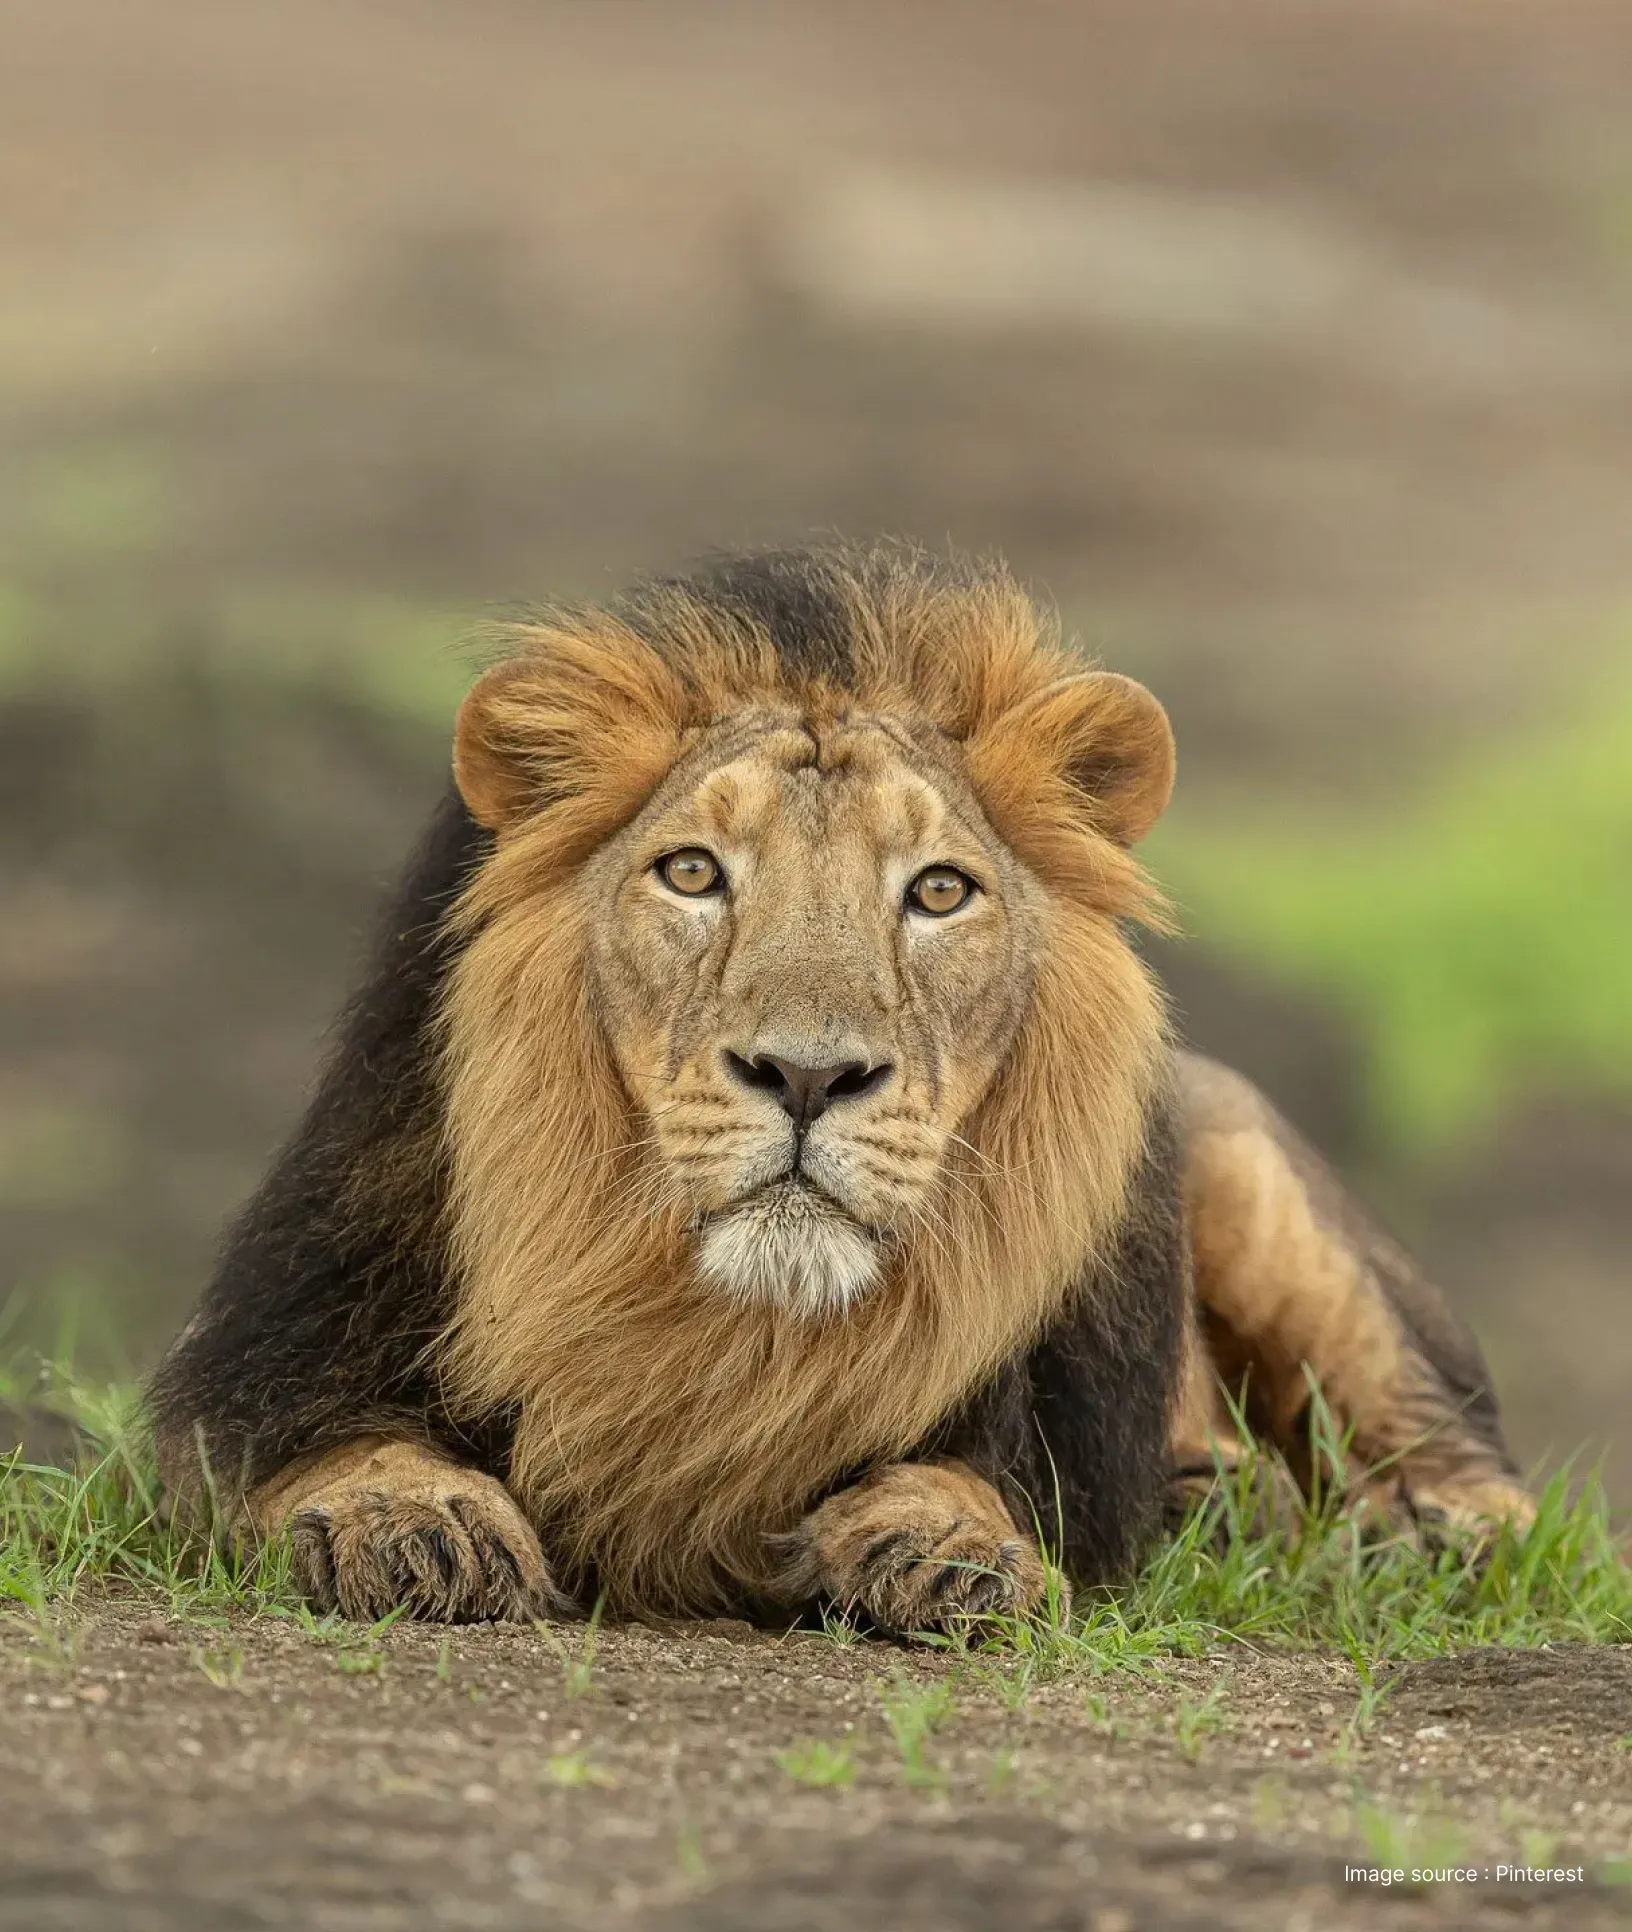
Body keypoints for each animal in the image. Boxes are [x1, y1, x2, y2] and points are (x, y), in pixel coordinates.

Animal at [150, 542, 1534, 1630]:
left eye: (938, 891)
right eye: (693, 873)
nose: (808, 1074)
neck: (731, 1327)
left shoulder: (1076, 1455)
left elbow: (1000, 1484)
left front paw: (950, 1542)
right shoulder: (261, 1361)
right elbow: (322, 1445)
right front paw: (409, 1523)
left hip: (1259, 1169)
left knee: (1472, 1461)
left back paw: (1409, 1536)